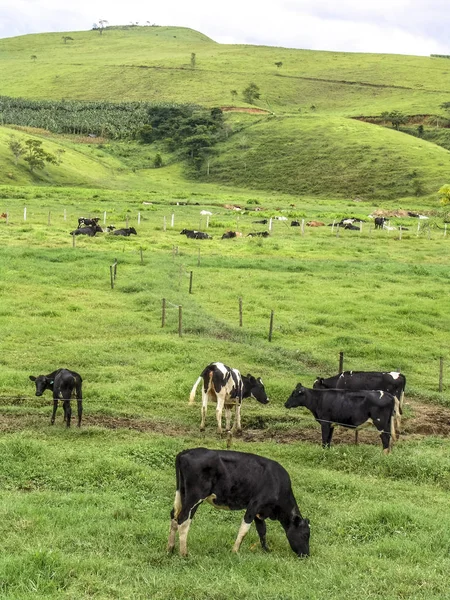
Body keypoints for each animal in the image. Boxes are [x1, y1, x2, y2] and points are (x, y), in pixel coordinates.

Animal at [167, 446, 312, 556]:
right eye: (306, 535)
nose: (306, 555)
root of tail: (185, 452)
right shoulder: (254, 505)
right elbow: (244, 528)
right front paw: (235, 551)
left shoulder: (260, 512)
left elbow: (262, 531)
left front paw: (266, 550)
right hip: (195, 496)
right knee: (183, 520)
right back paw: (184, 554)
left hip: (181, 492)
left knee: (174, 516)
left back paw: (170, 549)